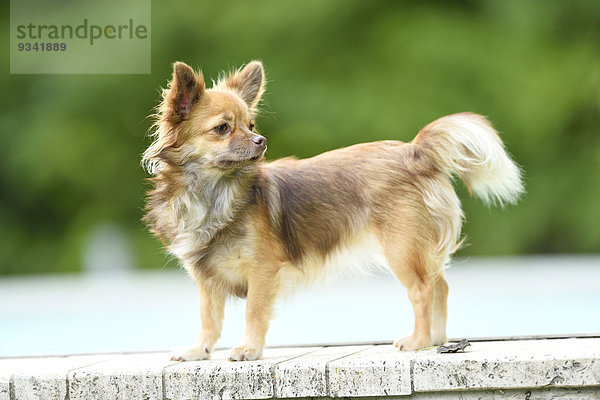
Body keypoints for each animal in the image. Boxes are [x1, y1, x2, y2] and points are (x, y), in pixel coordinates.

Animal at [143, 60, 524, 362]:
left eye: (251, 126)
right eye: (222, 129)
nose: (260, 141)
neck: (213, 193)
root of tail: (414, 151)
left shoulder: (262, 270)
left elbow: (253, 312)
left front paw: (248, 349)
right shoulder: (206, 278)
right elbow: (209, 318)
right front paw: (198, 351)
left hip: (401, 248)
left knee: (423, 290)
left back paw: (417, 340)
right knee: (440, 285)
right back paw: (436, 339)